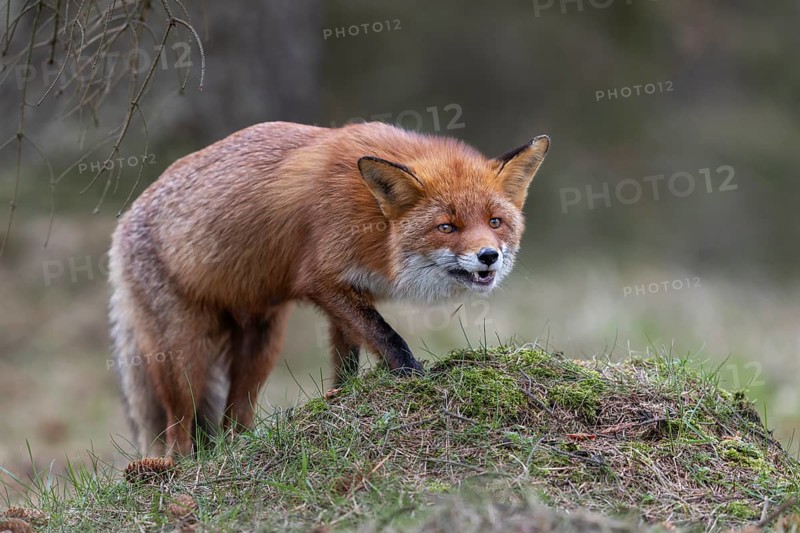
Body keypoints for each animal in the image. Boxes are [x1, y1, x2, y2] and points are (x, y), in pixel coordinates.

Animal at [108, 121, 549, 456]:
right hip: (183, 355)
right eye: (447, 227)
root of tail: (124, 223)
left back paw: (239, 446)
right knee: (178, 429)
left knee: (235, 416)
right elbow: (388, 338)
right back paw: (177, 467)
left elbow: (349, 361)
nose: (489, 256)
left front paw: (343, 397)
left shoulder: (352, 290)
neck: (374, 218)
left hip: (261, 344)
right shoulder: (322, 281)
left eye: (494, 222)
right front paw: (414, 378)